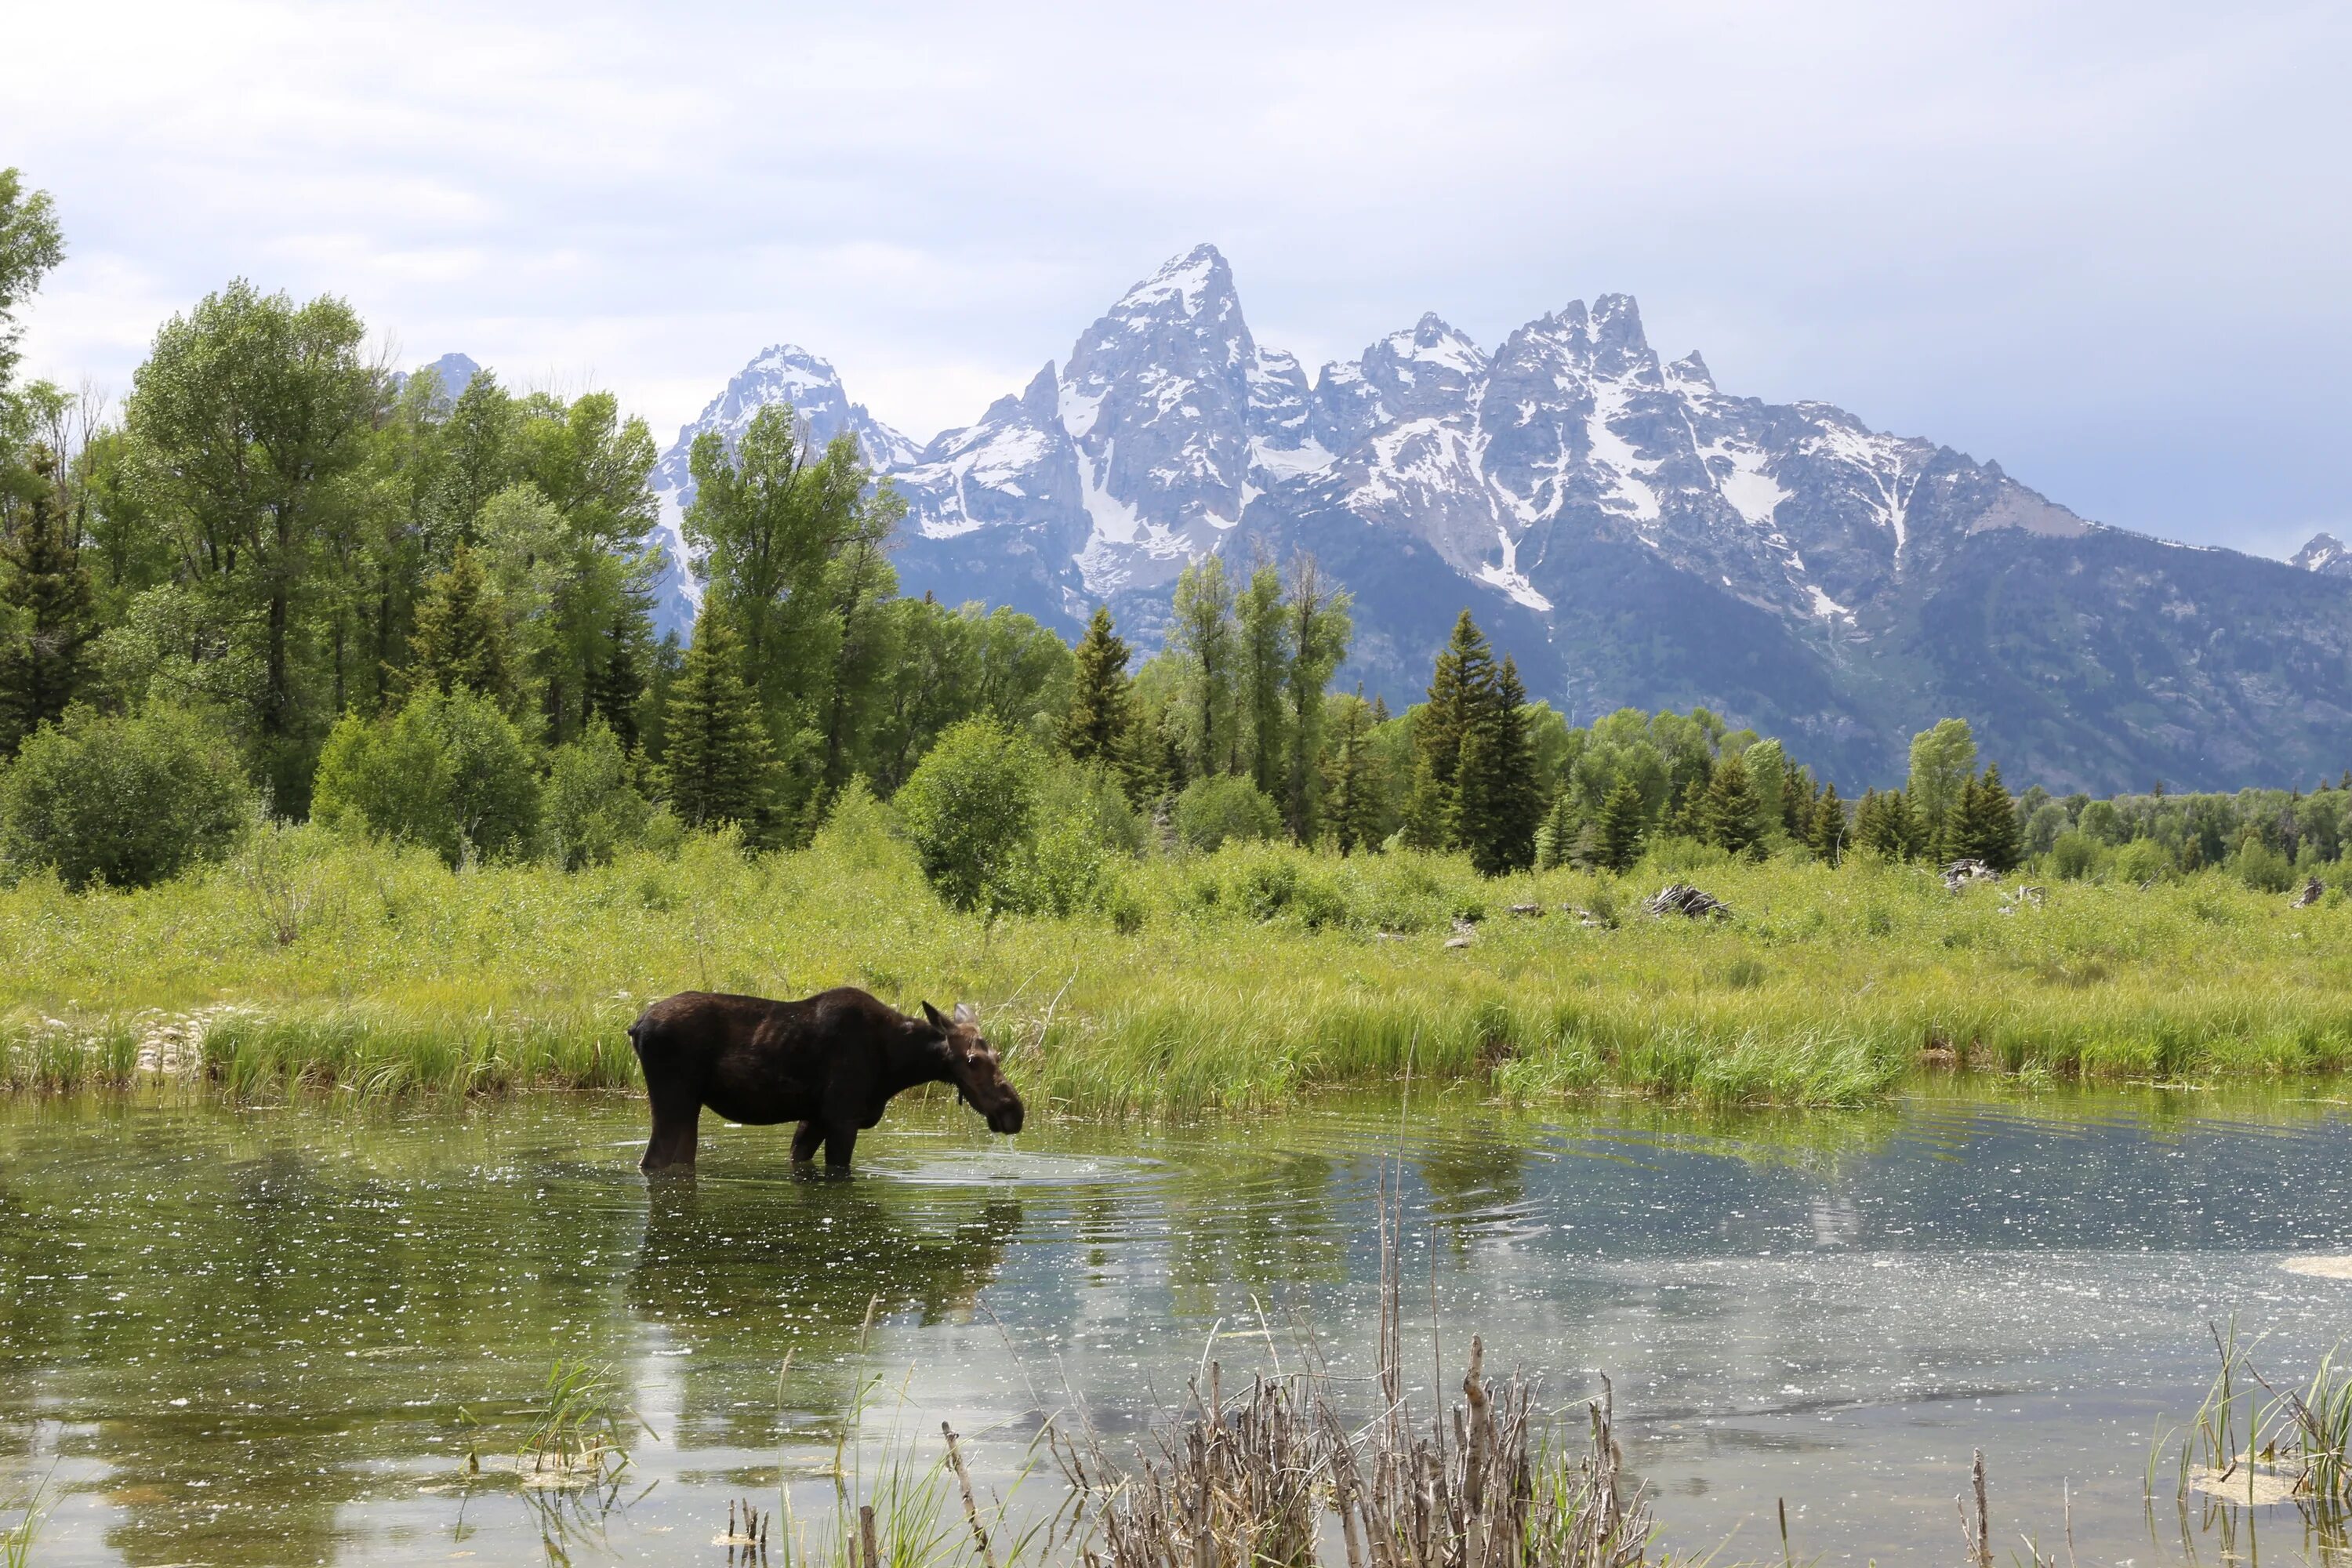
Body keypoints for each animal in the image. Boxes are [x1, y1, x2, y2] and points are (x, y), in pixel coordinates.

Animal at [630, 987, 1025, 1171]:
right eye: (972, 1060)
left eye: (998, 1056)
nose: (1014, 1111)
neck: (897, 1067)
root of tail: (635, 1028)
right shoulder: (841, 1117)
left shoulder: (815, 1118)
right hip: (673, 1098)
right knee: (652, 1160)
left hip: (690, 1106)